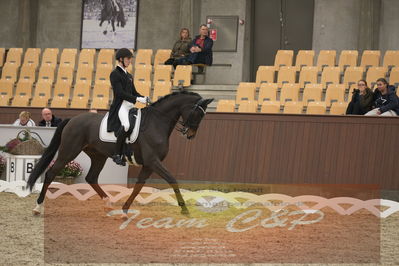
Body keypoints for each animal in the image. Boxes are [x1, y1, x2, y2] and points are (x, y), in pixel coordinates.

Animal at [27, 91, 214, 216]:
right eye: (198, 114)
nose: (190, 134)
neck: (156, 123)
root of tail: (72, 119)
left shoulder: (148, 165)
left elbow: (138, 186)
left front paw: (125, 209)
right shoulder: (153, 161)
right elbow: (172, 179)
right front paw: (184, 209)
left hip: (98, 156)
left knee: (91, 178)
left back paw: (108, 204)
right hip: (69, 151)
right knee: (51, 173)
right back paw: (37, 207)